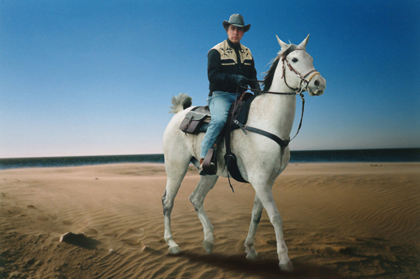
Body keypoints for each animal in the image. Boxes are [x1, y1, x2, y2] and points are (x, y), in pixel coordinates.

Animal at [161, 34, 324, 272]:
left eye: (310, 58)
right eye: (294, 59)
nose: (319, 83)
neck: (268, 121)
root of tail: (179, 114)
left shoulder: (268, 181)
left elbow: (257, 214)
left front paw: (251, 250)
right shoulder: (259, 180)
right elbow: (275, 217)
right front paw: (284, 260)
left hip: (209, 173)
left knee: (195, 198)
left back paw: (208, 240)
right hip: (176, 169)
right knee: (168, 202)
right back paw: (172, 244)